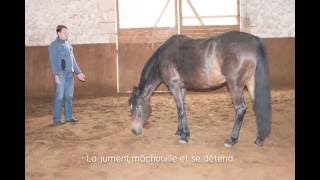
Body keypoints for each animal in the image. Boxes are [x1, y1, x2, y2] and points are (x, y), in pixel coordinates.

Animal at [127, 30, 270, 146]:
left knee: (241, 109)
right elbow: (180, 108)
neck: (163, 58)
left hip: (235, 85)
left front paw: (185, 136)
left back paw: (232, 139)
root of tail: (253, 41)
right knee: (257, 105)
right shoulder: (182, 88)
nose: (134, 130)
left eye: (137, 107)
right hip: (251, 82)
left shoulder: (174, 86)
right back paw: (259, 139)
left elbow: (180, 110)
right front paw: (180, 131)